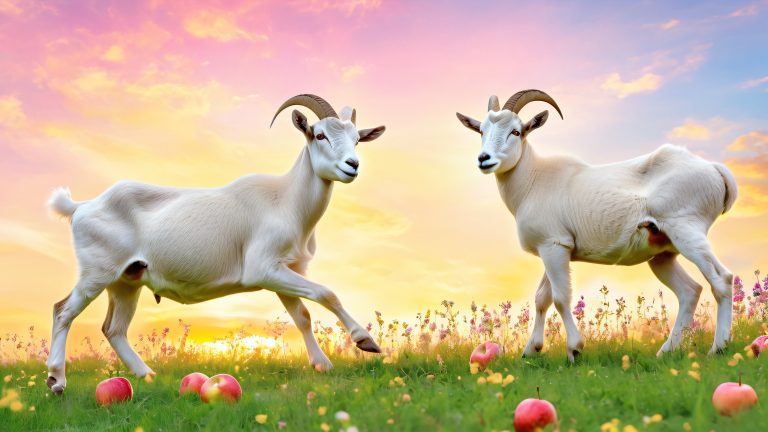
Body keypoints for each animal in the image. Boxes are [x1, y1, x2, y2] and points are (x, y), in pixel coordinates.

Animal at [46, 94, 386, 394]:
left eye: (357, 140)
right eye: (319, 135)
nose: (352, 165)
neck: (286, 201)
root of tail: (80, 207)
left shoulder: (285, 270)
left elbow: (302, 316)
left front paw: (322, 364)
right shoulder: (263, 268)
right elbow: (327, 294)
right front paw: (365, 341)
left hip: (127, 279)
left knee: (113, 328)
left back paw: (146, 375)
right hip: (97, 272)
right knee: (63, 311)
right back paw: (56, 381)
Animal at [456, 90, 737, 361]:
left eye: (516, 131)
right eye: (481, 130)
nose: (484, 159)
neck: (534, 180)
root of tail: (715, 169)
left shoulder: (554, 246)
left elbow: (560, 298)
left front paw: (574, 350)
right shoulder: (553, 247)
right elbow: (541, 298)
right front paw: (531, 351)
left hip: (687, 232)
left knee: (722, 279)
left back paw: (717, 348)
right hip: (663, 254)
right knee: (690, 291)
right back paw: (665, 351)